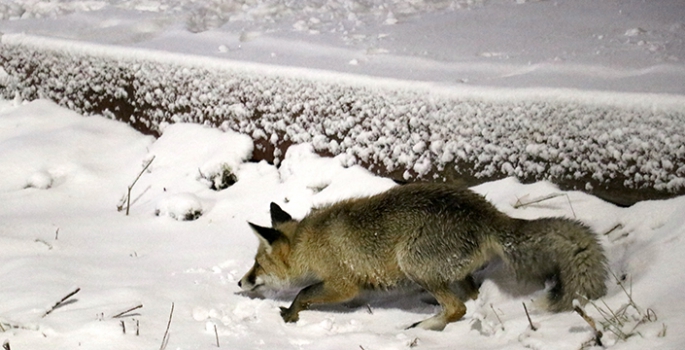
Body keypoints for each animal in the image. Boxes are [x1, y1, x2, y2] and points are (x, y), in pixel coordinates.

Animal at [238, 183, 608, 330]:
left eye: (257, 264)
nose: (241, 281)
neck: (311, 242)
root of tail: (488, 213)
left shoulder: (343, 284)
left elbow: (303, 292)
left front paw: (290, 314)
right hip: (451, 272)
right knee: (470, 299)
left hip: (413, 263)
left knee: (458, 308)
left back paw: (425, 325)